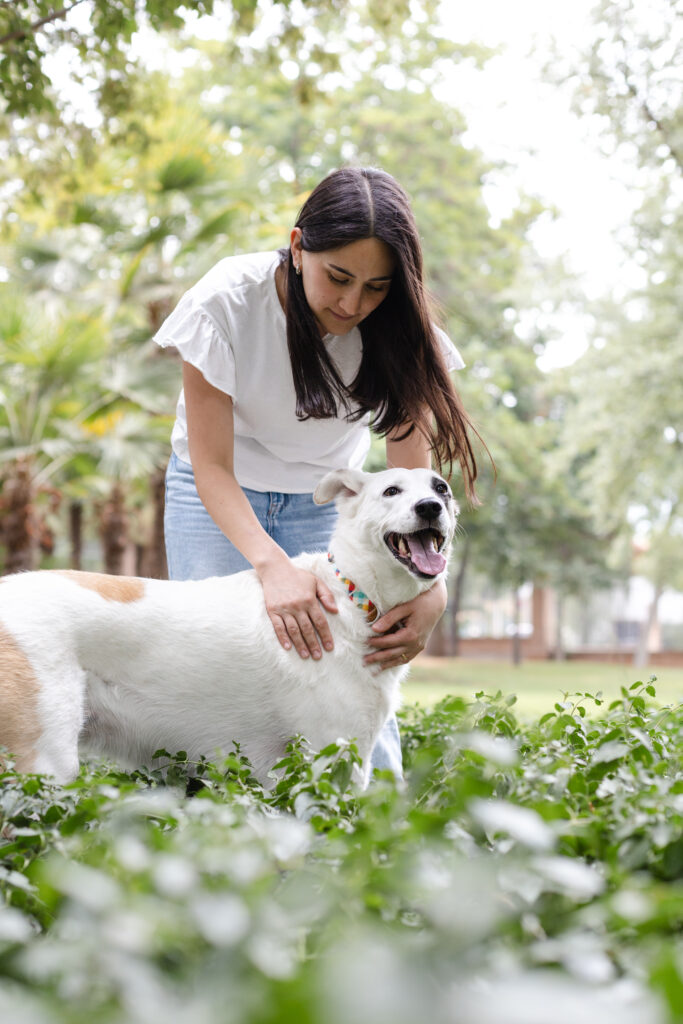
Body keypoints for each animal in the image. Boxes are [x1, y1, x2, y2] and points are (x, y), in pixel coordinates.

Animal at [0, 467, 457, 788]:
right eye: (391, 491)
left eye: (441, 488)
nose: (430, 507)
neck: (353, 595)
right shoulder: (332, 758)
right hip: (46, 762)